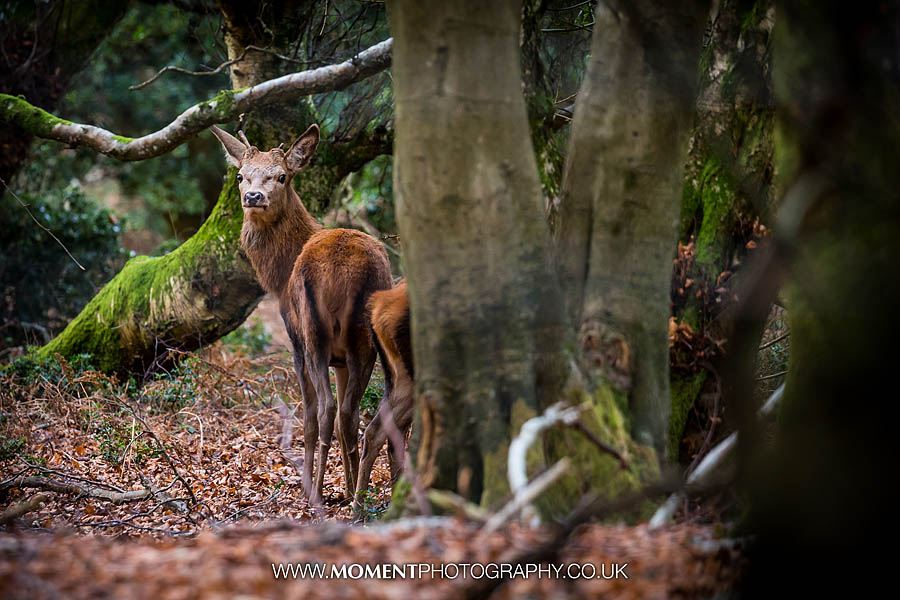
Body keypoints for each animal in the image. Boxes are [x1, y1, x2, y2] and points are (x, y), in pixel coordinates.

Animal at [210, 124, 392, 505]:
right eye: (240, 175)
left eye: (281, 176)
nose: (253, 197)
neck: (278, 278)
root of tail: (341, 272)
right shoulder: (340, 359)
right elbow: (347, 415)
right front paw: (347, 484)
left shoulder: (293, 338)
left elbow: (307, 415)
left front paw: (310, 482)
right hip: (361, 341)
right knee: (349, 412)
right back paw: (356, 494)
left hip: (314, 333)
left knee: (324, 410)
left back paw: (316, 493)